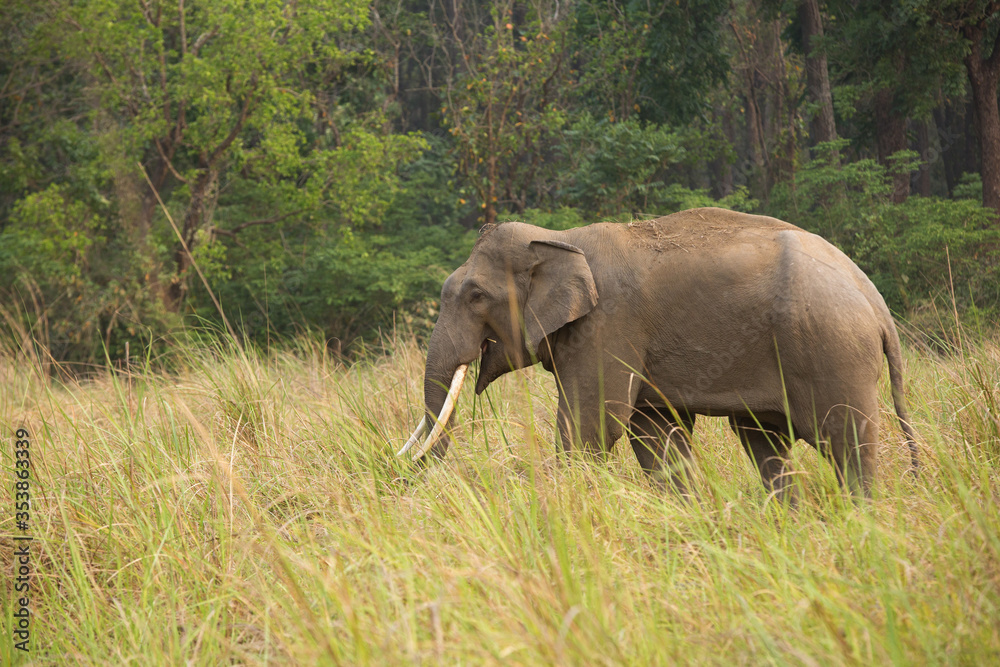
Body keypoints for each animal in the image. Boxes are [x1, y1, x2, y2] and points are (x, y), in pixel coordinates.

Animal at [397, 207, 918, 501]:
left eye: (476, 296)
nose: (402, 477)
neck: (560, 238)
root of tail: (874, 299)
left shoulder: (607, 325)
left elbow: (592, 427)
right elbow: (654, 433)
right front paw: (684, 514)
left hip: (831, 348)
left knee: (845, 439)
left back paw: (861, 517)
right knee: (764, 441)